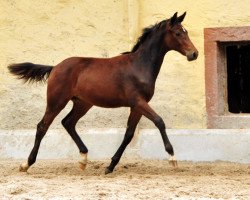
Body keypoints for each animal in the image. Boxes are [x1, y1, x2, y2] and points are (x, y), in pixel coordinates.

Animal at [8, 12, 198, 174]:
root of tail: (55, 67)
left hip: (83, 103)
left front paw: (111, 166)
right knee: (42, 126)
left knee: (68, 122)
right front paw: (172, 158)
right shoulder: (138, 102)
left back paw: (83, 159)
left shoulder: (137, 106)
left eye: (186, 32)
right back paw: (26, 164)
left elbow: (129, 134)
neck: (139, 66)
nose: (194, 54)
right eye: (178, 33)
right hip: (57, 101)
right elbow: (159, 121)